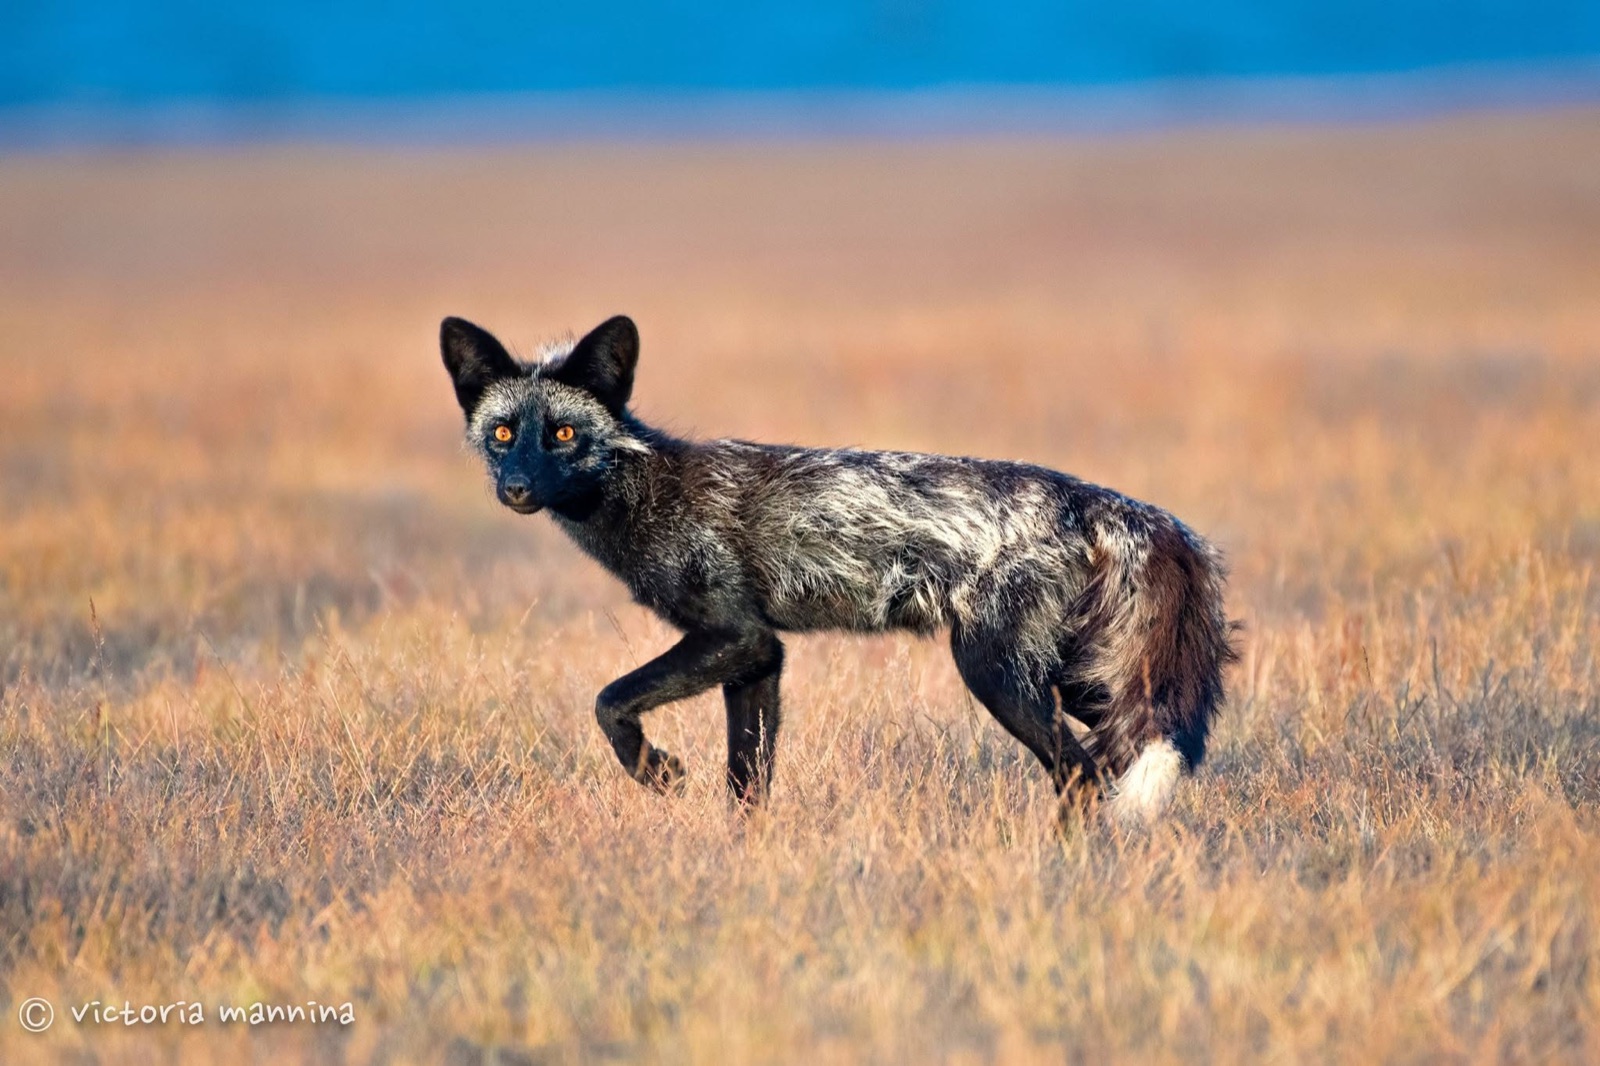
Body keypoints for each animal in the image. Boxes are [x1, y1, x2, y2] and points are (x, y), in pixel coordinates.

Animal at [441, 313, 1237, 822]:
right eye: (504, 434)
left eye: (563, 434)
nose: (517, 489)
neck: (644, 490)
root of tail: (1101, 500)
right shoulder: (759, 659)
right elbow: (747, 785)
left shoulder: (734, 635)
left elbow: (609, 702)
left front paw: (656, 774)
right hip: (1080, 682)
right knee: (1128, 756)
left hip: (996, 672)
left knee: (1080, 777)